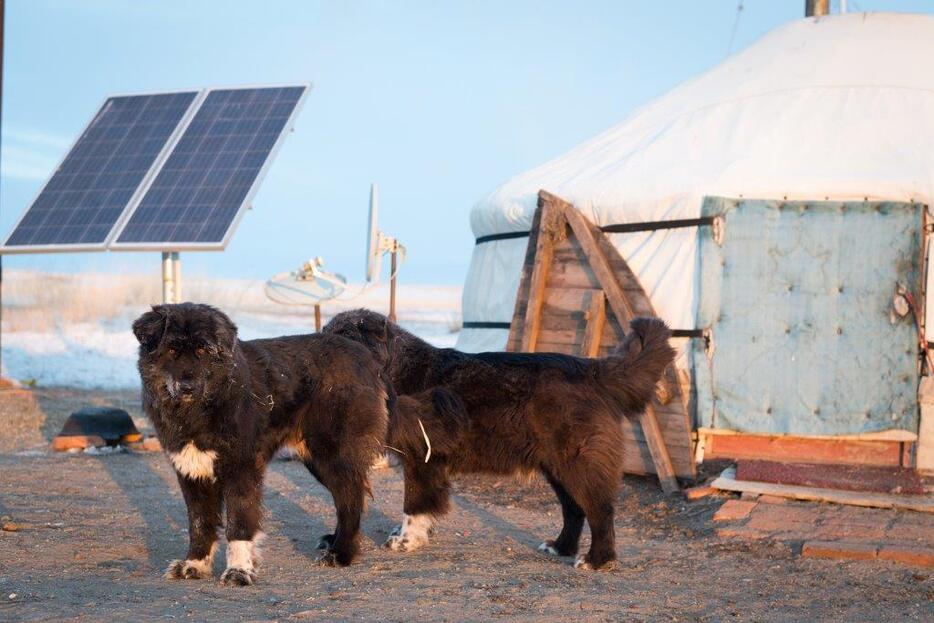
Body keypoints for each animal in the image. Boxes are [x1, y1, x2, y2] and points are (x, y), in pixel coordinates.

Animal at [133, 302, 390, 584]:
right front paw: (195, 564)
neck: (202, 409)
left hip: (332, 454)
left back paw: (342, 553)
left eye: (202, 351)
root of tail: (359, 350)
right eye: (172, 350)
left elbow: (238, 523)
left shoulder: (241, 468)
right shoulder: (192, 470)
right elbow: (200, 523)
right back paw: (334, 542)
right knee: (348, 497)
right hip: (317, 459)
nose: (187, 386)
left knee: (350, 500)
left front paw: (238, 571)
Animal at [326, 310, 676, 572]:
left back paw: (597, 560)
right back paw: (560, 547)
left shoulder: (421, 459)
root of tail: (593, 371)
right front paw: (411, 534)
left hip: (578, 465)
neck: (393, 369)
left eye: (343, 337)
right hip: (558, 468)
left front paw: (406, 541)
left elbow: (414, 504)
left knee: (600, 511)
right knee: (575, 510)